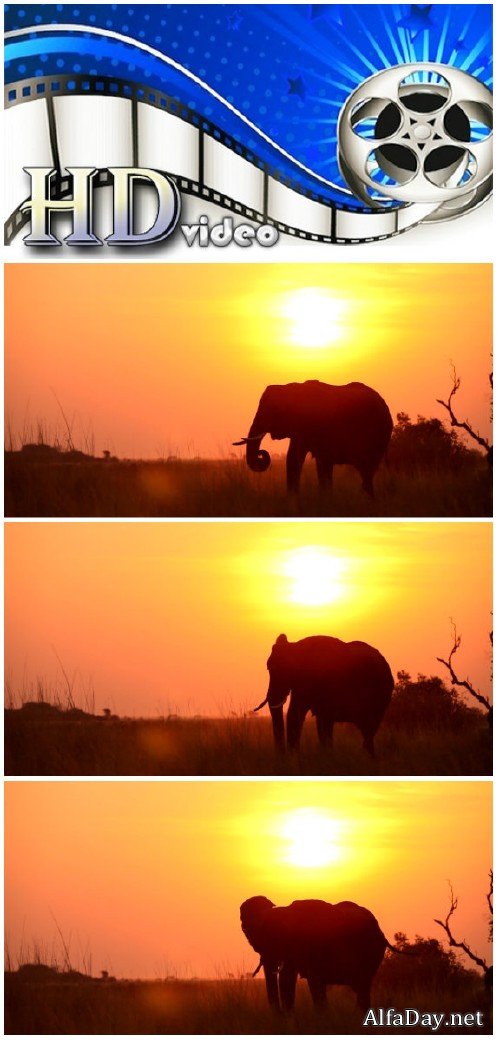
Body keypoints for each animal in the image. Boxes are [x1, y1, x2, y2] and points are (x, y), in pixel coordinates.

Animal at [233, 379, 393, 495]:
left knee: (367, 469)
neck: (291, 388)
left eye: (273, 409)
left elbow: (321, 461)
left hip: (378, 433)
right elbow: (293, 459)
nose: (261, 454)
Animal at [254, 634, 394, 754]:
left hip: (381, 695)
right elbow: (295, 715)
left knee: (370, 728)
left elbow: (323, 719)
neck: (296, 647)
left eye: (273, 669)